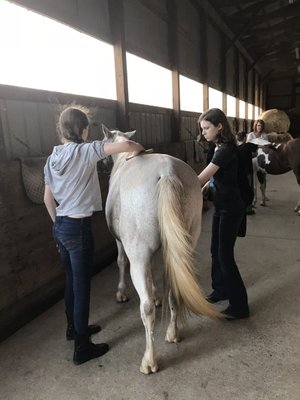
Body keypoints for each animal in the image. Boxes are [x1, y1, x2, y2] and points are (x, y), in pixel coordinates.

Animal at [102, 126, 221, 376]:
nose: (103, 165)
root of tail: (167, 173)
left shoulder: (121, 243)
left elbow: (120, 262)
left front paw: (122, 293)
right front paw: (158, 296)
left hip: (138, 257)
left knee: (146, 308)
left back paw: (149, 361)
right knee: (174, 291)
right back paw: (172, 334)